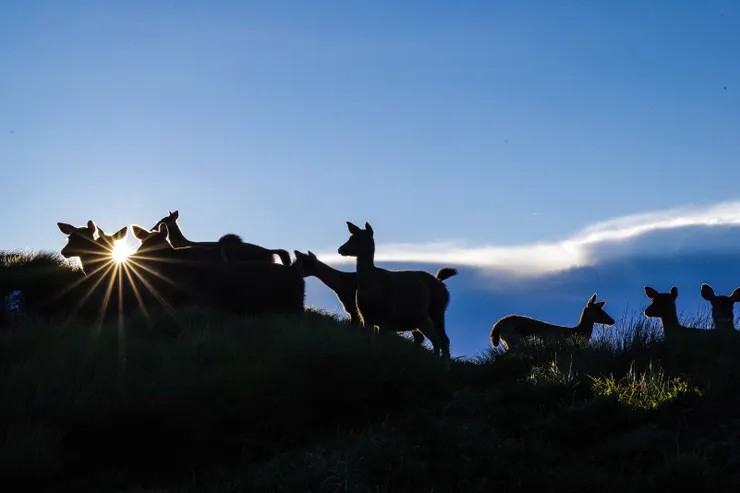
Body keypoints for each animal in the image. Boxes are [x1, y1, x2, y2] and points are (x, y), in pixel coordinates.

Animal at [336, 221, 457, 364]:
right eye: (350, 238)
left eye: (359, 239)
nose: (340, 249)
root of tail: (441, 284)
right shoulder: (365, 316)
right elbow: (371, 342)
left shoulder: (387, 315)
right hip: (422, 319)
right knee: (435, 339)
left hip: (437, 309)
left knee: (444, 340)